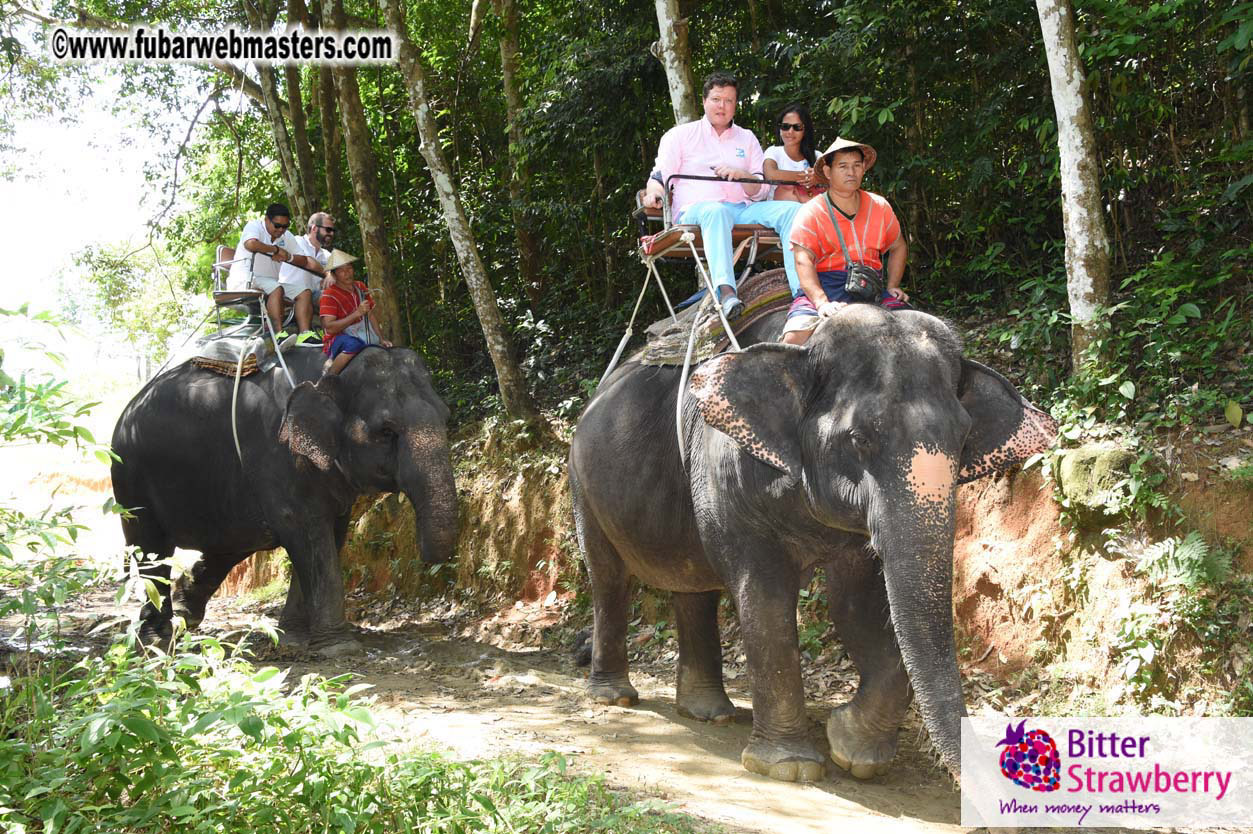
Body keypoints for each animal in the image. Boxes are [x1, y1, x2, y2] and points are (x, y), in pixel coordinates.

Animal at [110, 345, 457, 653]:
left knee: (228, 546)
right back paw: (156, 638)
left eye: (446, 417)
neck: (332, 369)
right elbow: (308, 533)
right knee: (151, 549)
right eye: (386, 431)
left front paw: (291, 637)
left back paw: (185, 617)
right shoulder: (277, 455)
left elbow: (331, 534)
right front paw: (338, 647)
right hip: (130, 478)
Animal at [569, 302, 1056, 783]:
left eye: (963, 439)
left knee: (694, 586)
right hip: (582, 482)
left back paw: (709, 713)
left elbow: (857, 602)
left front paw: (852, 751)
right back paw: (615, 696)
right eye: (859, 438)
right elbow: (764, 596)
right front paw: (790, 766)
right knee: (609, 577)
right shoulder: (726, 467)